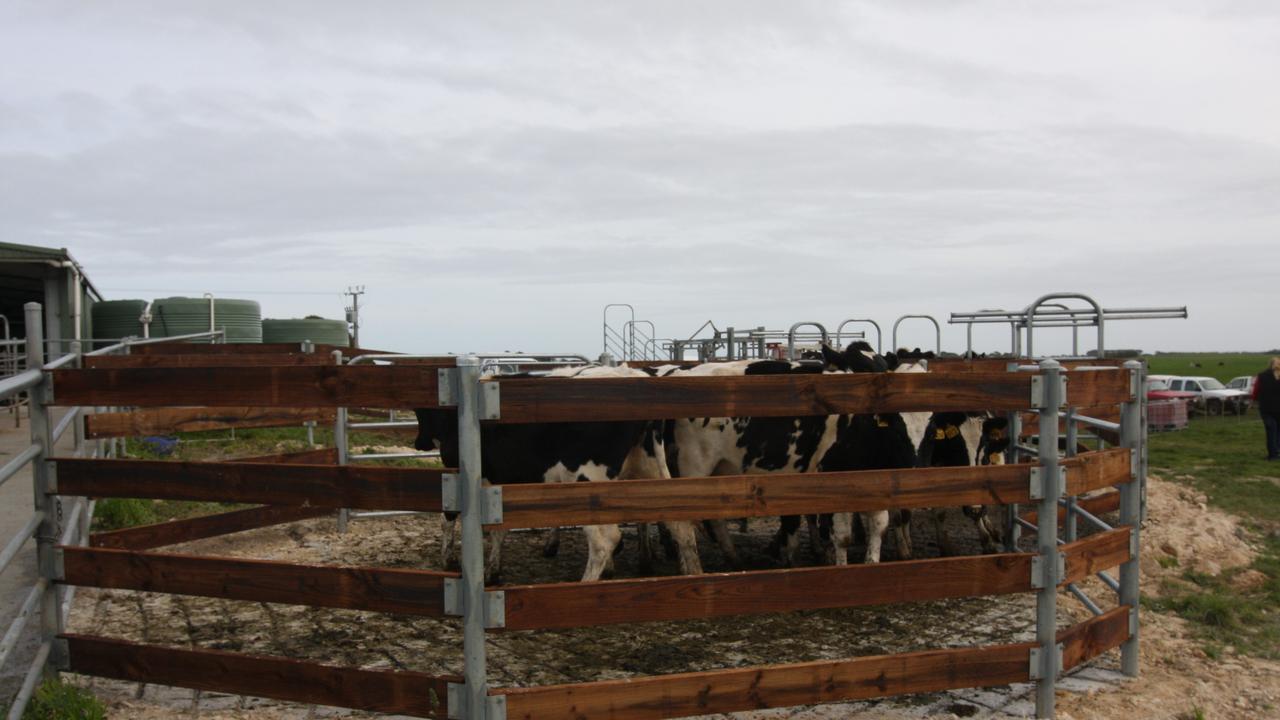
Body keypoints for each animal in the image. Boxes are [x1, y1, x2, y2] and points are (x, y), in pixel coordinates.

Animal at [414, 363, 701, 584]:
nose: (419, 442)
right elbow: (499, 530)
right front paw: (493, 572)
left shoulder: (454, 474)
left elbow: (448, 518)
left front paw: (449, 560)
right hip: (651, 469)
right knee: (682, 526)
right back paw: (694, 577)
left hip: (586, 482)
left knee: (605, 540)